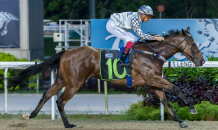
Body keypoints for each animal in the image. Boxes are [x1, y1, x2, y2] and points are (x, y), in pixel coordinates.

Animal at [6, 27, 204, 128]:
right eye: (193, 43)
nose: (202, 61)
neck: (153, 54)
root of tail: (67, 51)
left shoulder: (153, 82)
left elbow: (165, 101)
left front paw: (180, 121)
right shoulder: (153, 79)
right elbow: (176, 88)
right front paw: (192, 108)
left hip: (63, 80)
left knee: (47, 94)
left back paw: (31, 115)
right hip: (75, 83)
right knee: (60, 100)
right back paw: (68, 124)